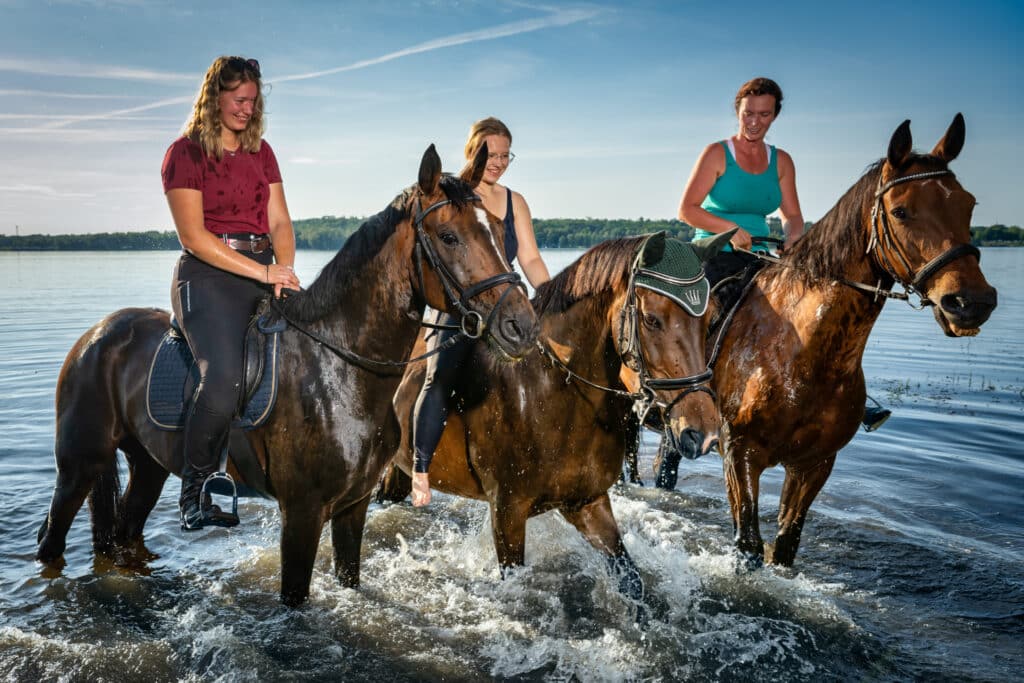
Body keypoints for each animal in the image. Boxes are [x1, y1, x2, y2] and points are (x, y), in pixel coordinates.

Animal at [36, 143, 540, 602]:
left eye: (499, 231)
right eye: (449, 236)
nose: (522, 326)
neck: (342, 370)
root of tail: (96, 334)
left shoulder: (353, 507)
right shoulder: (301, 513)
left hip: (147, 466)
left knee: (124, 532)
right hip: (78, 465)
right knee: (51, 540)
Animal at [378, 232, 729, 602]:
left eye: (710, 320)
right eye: (651, 319)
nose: (703, 432)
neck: (551, 397)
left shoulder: (588, 502)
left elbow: (631, 579)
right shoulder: (507, 512)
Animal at [659, 114, 995, 569]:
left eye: (969, 205)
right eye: (901, 210)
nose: (972, 302)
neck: (800, 351)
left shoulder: (815, 464)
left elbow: (785, 546)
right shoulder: (741, 455)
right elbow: (749, 546)